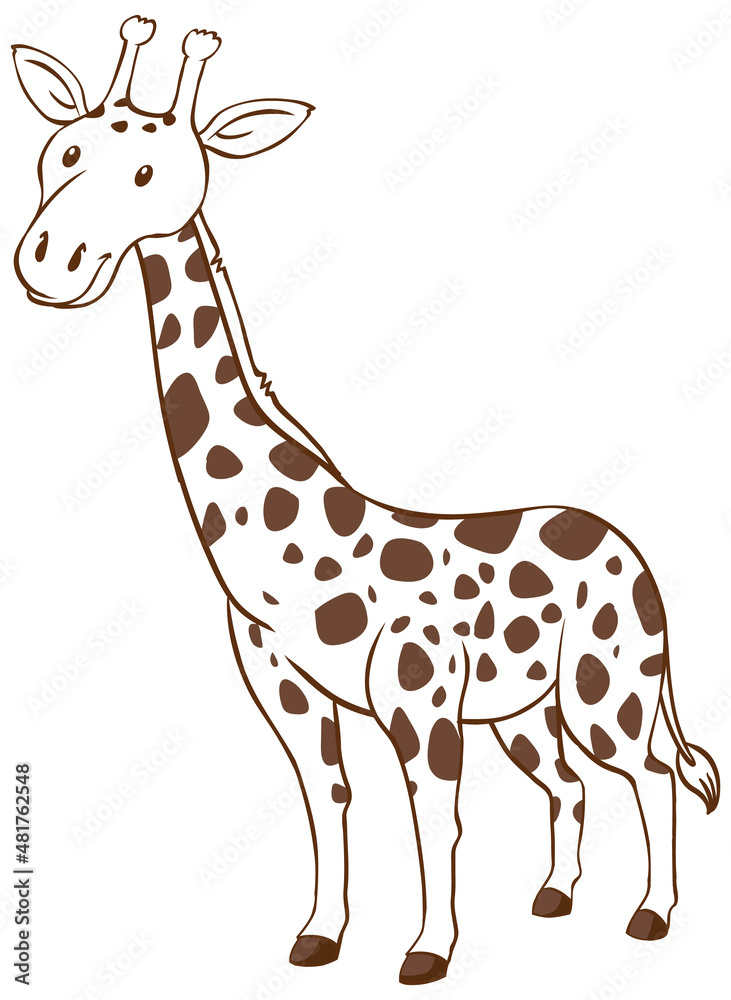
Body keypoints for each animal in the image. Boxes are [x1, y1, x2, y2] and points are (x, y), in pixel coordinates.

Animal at [13, 17, 720, 987]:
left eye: (151, 173)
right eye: (61, 152)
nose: (49, 263)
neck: (290, 552)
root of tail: (627, 548)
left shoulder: (421, 704)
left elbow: (435, 821)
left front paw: (426, 954)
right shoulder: (289, 696)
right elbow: (329, 803)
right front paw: (317, 939)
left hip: (604, 682)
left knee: (648, 775)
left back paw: (648, 917)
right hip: (524, 710)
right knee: (571, 781)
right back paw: (554, 897)